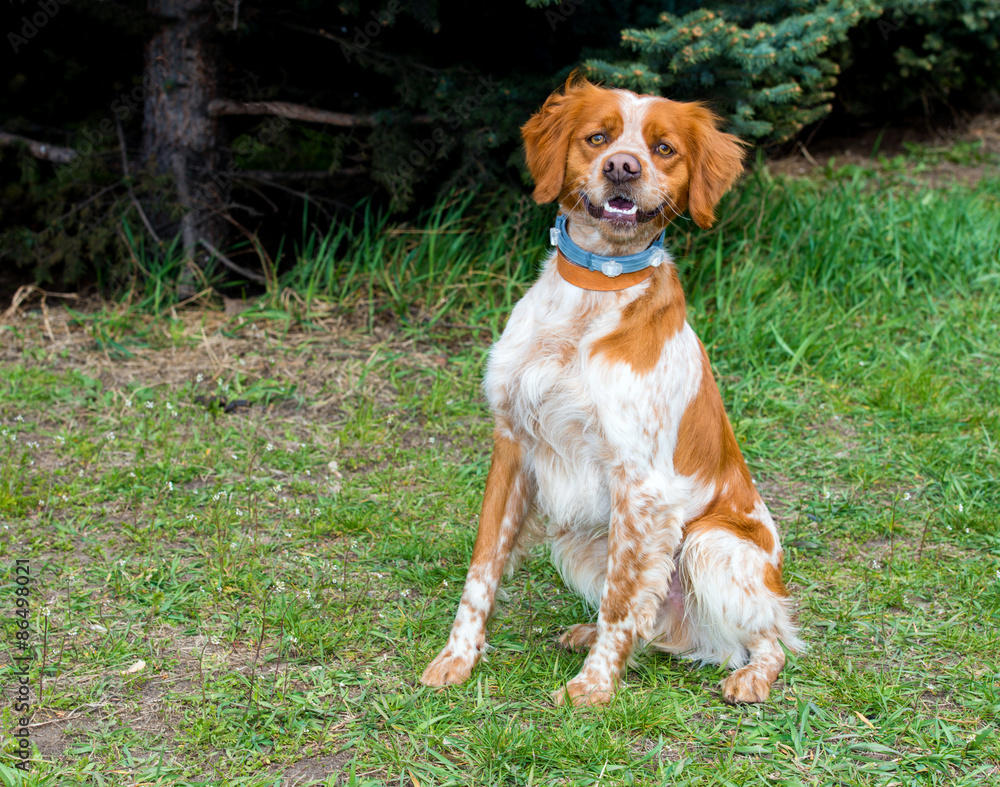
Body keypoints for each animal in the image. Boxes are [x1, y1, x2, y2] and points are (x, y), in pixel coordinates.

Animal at [418, 78, 800, 708]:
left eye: (664, 148)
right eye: (598, 138)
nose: (622, 166)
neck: (595, 290)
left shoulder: (639, 484)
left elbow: (623, 600)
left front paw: (593, 688)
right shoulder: (512, 447)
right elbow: (482, 569)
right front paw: (457, 658)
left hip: (709, 545)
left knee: (768, 637)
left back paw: (750, 677)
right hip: (577, 540)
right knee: (654, 624)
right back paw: (587, 632)